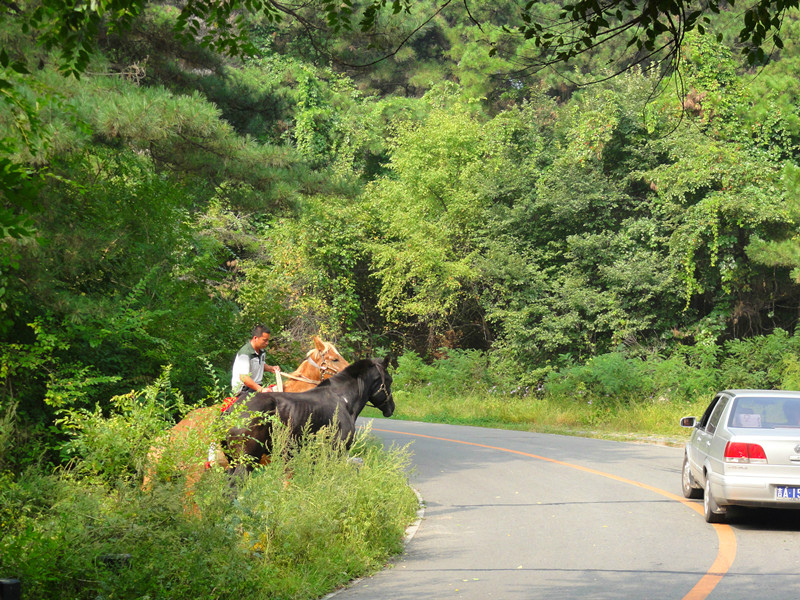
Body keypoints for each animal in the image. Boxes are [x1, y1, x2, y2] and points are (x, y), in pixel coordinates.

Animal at [222, 356, 394, 474]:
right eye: (390, 380)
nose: (391, 408)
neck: (344, 399)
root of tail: (231, 412)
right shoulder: (335, 453)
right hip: (245, 463)